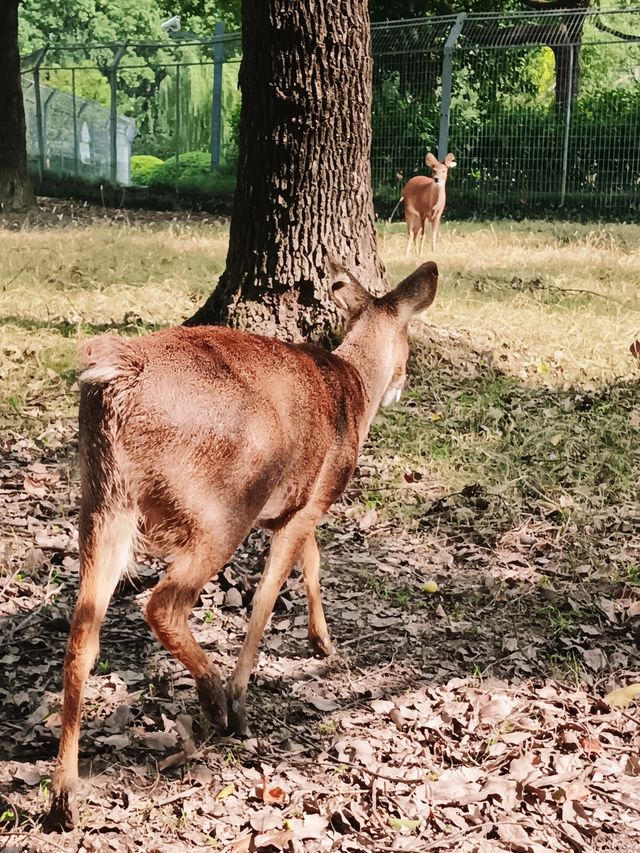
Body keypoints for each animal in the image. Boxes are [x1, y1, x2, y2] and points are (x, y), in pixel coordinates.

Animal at [48, 258, 440, 824]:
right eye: (409, 335)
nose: (402, 384)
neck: (355, 389)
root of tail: (113, 376)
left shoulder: (296, 506)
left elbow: (312, 562)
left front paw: (323, 643)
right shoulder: (312, 500)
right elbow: (270, 593)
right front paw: (241, 696)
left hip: (101, 500)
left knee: (81, 633)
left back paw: (64, 793)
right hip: (222, 505)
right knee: (163, 604)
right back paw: (215, 701)